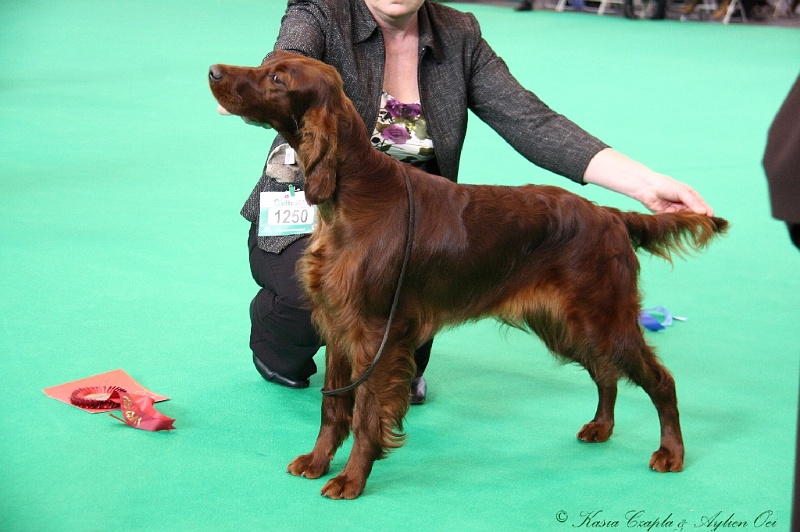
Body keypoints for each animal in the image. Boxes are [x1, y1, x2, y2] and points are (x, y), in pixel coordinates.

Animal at [209, 50, 728, 498]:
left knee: (659, 380)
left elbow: (364, 414)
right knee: (605, 372)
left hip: (605, 317)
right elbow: (333, 405)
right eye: (267, 62)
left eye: (279, 79)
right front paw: (317, 462)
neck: (353, 196)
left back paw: (670, 452)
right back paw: (601, 427)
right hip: (568, 323)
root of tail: (611, 215)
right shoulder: (338, 327)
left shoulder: (376, 334)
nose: (213, 71)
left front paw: (351, 480)